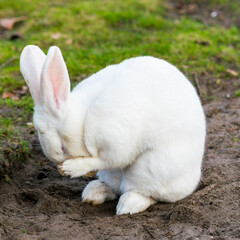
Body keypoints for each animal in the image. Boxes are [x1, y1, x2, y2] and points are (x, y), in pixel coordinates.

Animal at [19, 45, 205, 216]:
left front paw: (71, 168)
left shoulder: (115, 143)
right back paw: (94, 192)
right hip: (115, 174)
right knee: (115, 187)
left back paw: (128, 205)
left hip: (149, 170)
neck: (83, 121)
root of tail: (193, 180)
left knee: (147, 193)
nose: (61, 164)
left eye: (62, 148)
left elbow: (105, 160)